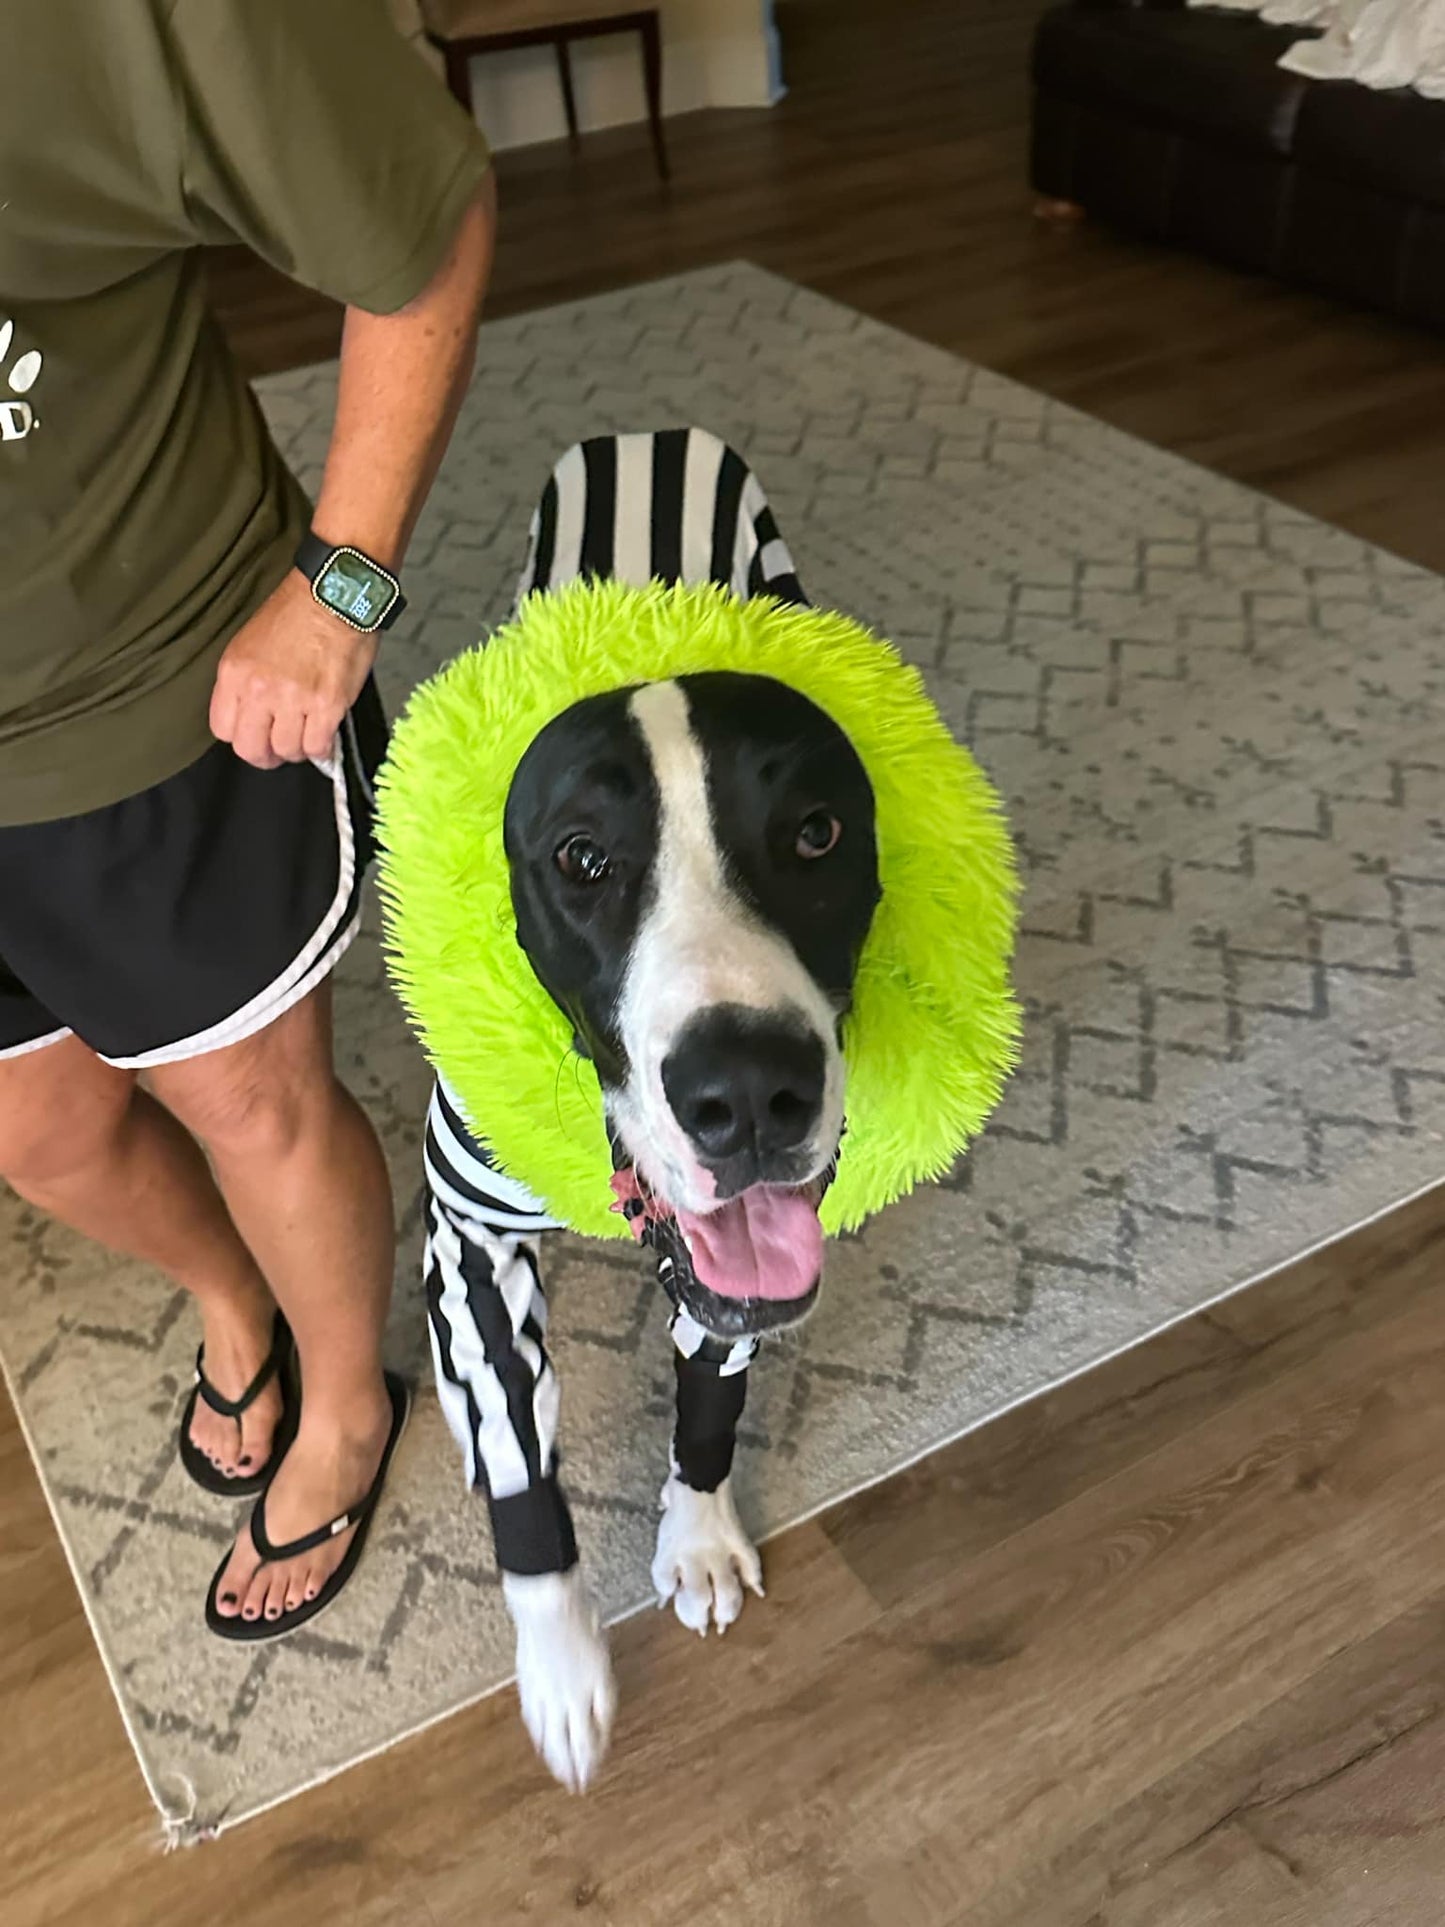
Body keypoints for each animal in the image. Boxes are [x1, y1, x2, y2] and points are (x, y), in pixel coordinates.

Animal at [421, 425, 882, 1788]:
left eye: (818, 831)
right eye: (580, 856)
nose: (749, 1095)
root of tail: (651, 438)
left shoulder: (744, 1272)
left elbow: (712, 1397)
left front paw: (699, 1535)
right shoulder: (467, 1240)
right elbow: (523, 1475)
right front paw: (563, 1663)